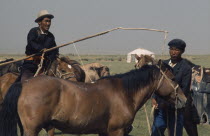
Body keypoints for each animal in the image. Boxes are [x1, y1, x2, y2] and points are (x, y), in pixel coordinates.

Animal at [0, 60, 187, 136]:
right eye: (172, 78)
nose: (184, 99)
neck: (124, 93)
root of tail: (23, 84)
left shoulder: (103, 132)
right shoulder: (116, 131)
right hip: (32, 130)